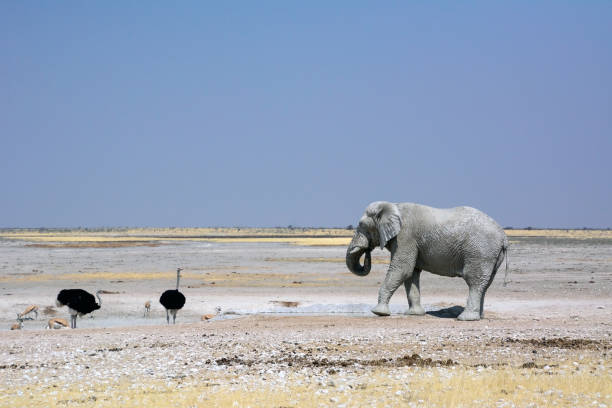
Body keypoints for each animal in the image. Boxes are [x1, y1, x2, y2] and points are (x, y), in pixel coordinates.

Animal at [346, 202, 510, 320]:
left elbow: (402, 269)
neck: (392, 205)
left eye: (361, 225)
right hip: (490, 254)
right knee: (485, 284)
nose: (367, 250)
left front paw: (379, 313)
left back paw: (465, 318)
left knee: (474, 281)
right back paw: (479, 317)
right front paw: (414, 314)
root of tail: (504, 237)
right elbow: (411, 274)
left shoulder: (405, 236)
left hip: (480, 251)